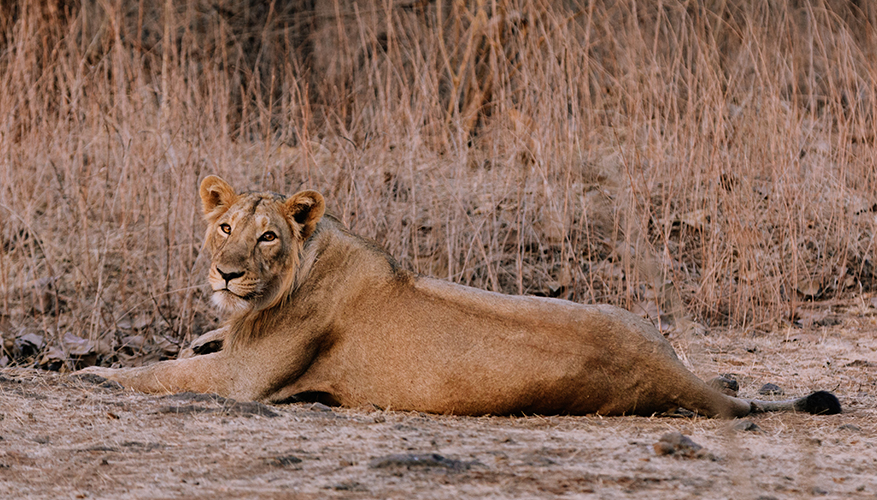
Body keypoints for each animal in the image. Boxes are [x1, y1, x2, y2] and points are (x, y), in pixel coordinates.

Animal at [78, 176, 840, 418]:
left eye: (267, 237)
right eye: (225, 227)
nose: (226, 274)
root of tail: (671, 371)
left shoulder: (242, 380)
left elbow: (160, 373)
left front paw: (97, 374)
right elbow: (189, 349)